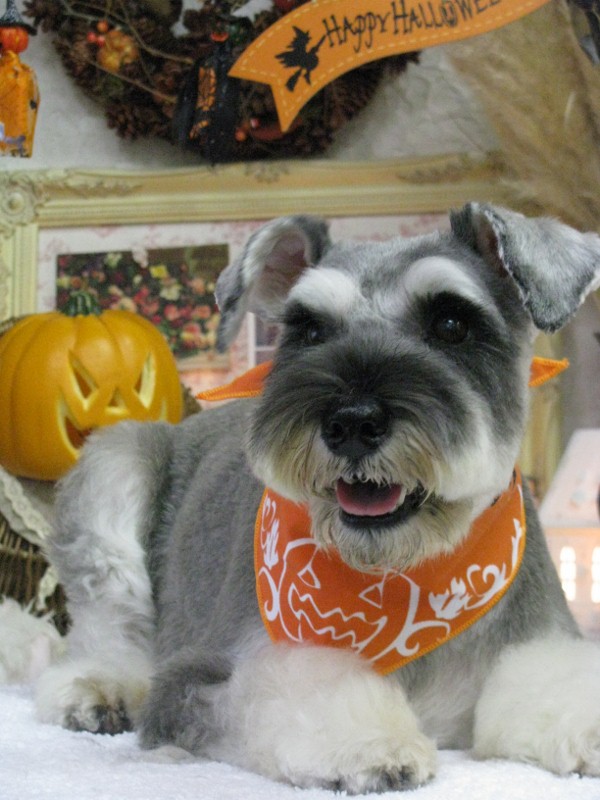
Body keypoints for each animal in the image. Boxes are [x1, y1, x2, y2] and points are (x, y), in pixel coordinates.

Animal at [36, 203, 600, 793]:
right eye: (308, 330)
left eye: (451, 324)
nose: (352, 422)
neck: (403, 580)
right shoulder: (202, 677)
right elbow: (296, 686)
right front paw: (374, 741)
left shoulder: (539, 636)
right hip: (113, 465)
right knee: (110, 621)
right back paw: (98, 687)